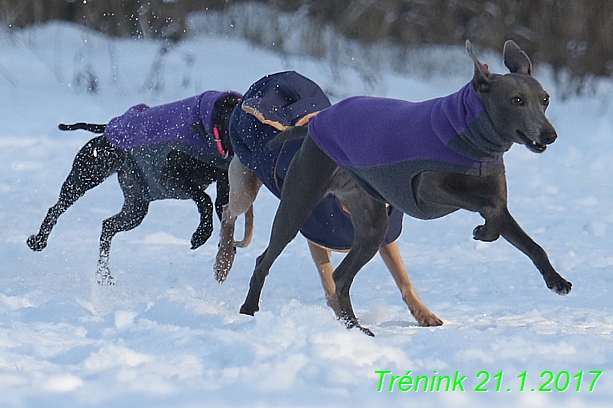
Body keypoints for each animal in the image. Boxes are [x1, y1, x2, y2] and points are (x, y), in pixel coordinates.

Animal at [27, 91, 241, 284]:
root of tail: (106, 129)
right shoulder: (169, 177)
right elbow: (204, 199)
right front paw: (201, 233)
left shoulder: (224, 190)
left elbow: (221, 211)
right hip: (84, 178)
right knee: (56, 209)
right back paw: (39, 241)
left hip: (136, 208)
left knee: (108, 226)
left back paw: (104, 275)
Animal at [238, 39, 568, 336]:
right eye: (516, 100)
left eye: (545, 99)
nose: (549, 135)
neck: (471, 135)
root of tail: (315, 122)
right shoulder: (427, 191)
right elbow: (487, 207)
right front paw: (483, 231)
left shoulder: (495, 197)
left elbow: (527, 240)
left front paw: (556, 280)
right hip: (299, 203)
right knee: (265, 259)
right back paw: (249, 309)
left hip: (372, 224)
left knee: (341, 277)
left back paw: (355, 328)